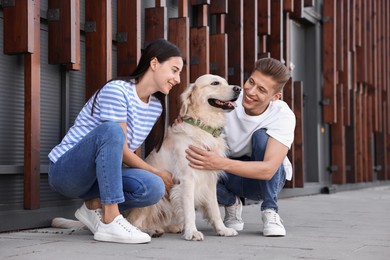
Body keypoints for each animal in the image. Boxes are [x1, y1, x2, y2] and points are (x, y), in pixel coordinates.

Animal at [125, 73, 241, 240]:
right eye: (215, 83)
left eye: (226, 82)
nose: (238, 88)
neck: (203, 126)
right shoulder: (187, 179)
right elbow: (190, 210)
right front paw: (192, 232)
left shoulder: (210, 179)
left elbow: (214, 208)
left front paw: (222, 229)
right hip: (157, 199)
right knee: (135, 222)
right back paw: (152, 230)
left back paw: (173, 227)